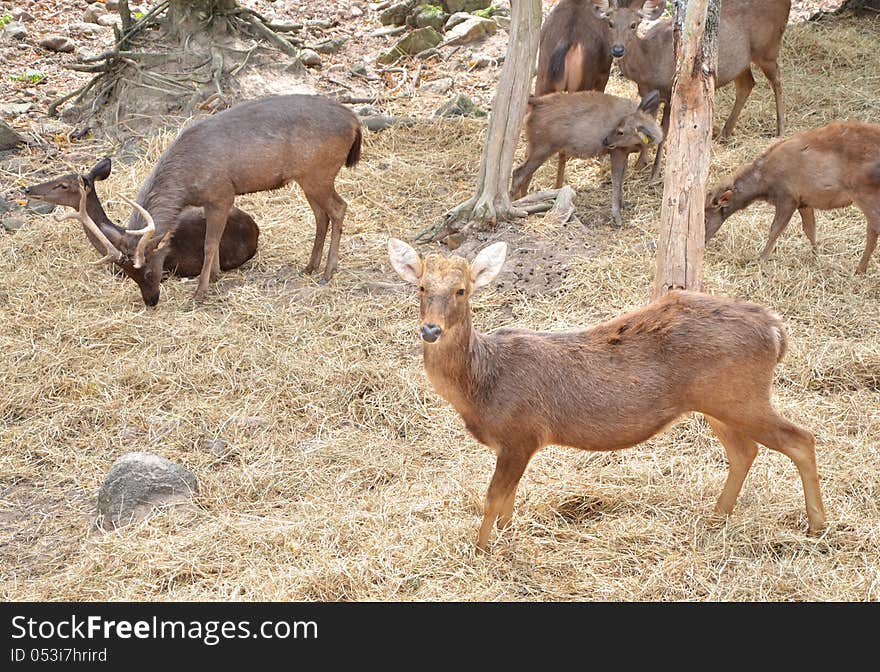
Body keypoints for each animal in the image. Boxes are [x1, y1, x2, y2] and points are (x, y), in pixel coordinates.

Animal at [93, 94, 360, 304]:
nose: (151, 301)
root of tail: (355, 122)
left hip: (320, 174)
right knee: (321, 215)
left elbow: (210, 244)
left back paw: (327, 272)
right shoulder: (209, 201)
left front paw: (200, 293)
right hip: (307, 178)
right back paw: (310, 267)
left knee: (339, 208)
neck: (187, 182)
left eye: (148, 270)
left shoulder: (222, 194)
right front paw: (214, 276)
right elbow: (214, 240)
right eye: (130, 274)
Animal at [386, 236, 824, 552]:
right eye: (421, 287)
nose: (430, 329)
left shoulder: (521, 434)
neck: (482, 386)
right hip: (718, 402)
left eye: (461, 290)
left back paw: (817, 526)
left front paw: (480, 550)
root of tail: (776, 329)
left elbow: (494, 497)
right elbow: (508, 502)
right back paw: (716, 519)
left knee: (801, 439)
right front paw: (505, 539)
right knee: (744, 451)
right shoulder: (512, 444)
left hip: (743, 396)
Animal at [508, 88, 660, 226]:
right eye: (619, 129)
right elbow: (617, 180)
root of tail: (538, 102)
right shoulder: (617, 151)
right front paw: (617, 217)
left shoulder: (624, 152)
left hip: (537, 146)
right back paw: (513, 205)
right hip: (543, 147)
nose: (605, 140)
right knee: (518, 173)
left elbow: (622, 177)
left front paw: (623, 204)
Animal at [704, 121, 880, 272]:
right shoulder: (804, 201)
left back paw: (860, 270)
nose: (702, 241)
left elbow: (775, 229)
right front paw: (817, 257)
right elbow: (810, 229)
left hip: (865, 193)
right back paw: (860, 269)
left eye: (704, 218)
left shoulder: (787, 198)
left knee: (873, 228)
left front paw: (761, 259)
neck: (764, 184)